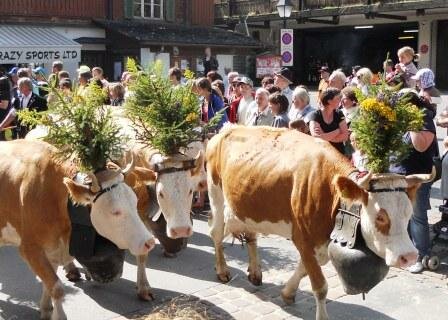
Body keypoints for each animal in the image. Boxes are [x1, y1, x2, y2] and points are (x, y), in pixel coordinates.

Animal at [0, 141, 155, 320]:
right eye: (115, 211)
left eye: (134, 201)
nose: (150, 242)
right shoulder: (30, 248)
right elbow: (56, 287)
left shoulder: (53, 249)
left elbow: (49, 282)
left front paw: (45, 308)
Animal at [205, 126, 432, 320]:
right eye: (381, 217)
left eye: (409, 213)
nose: (409, 256)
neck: (331, 192)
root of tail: (226, 129)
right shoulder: (302, 238)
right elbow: (320, 286)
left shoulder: (319, 243)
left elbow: (304, 269)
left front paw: (287, 293)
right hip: (215, 194)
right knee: (216, 232)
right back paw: (222, 270)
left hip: (246, 205)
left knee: (251, 235)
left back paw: (255, 272)